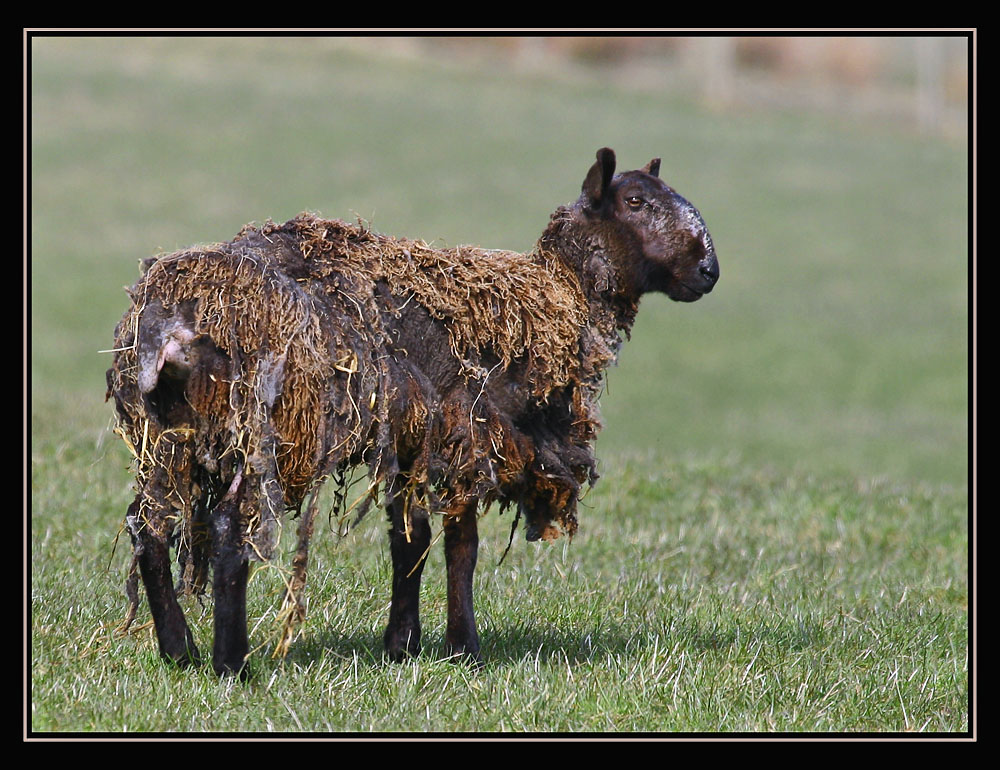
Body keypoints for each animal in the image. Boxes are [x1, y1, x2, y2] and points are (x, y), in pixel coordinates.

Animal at [105, 147, 716, 676]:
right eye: (634, 201)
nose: (709, 269)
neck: (555, 298)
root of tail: (171, 321)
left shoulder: (413, 441)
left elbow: (409, 541)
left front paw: (402, 644)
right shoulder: (471, 436)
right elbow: (460, 546)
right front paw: (464, 648)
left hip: (165, 435)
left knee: (149, 528)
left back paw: (178, 649)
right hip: (265, 431)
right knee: (231, 528)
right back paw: (231, 664)